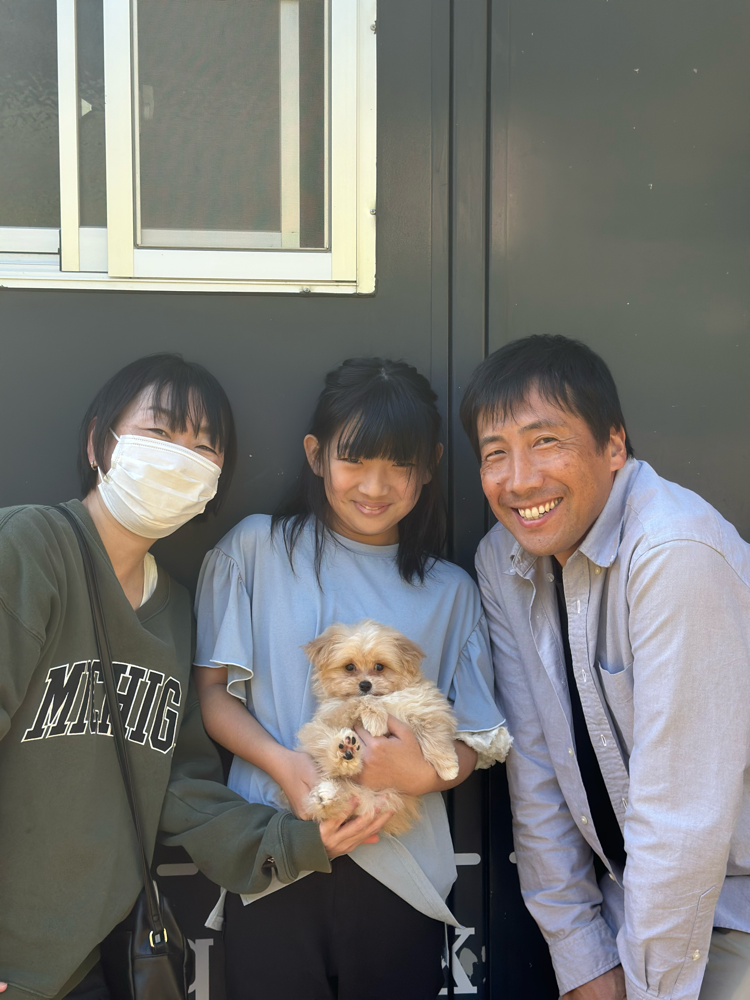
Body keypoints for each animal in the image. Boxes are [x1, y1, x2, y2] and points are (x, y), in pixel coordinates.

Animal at [297, 619, 459, 836]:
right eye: (349, 667)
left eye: (379, 667)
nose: (365, 685)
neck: (385, 697)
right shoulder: (331, 714)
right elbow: (359, 702)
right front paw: (375, 718)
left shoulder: (425, 707)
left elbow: (434, 735)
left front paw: (448, 767)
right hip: (314, 735)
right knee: (332, 766)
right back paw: (341, 761)